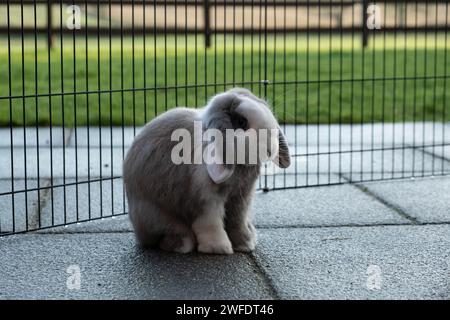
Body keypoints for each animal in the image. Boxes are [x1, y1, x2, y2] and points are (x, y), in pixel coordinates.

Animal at [123, 87, 292, 255]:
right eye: (242, 122)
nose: (271, 149)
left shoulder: (241, 198)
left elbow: (237, 221)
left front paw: (245, 244)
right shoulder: (206, 200)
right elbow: (210, 224)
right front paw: (219, 248)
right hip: (156, 215)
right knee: (166, 233)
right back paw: (181, 244)